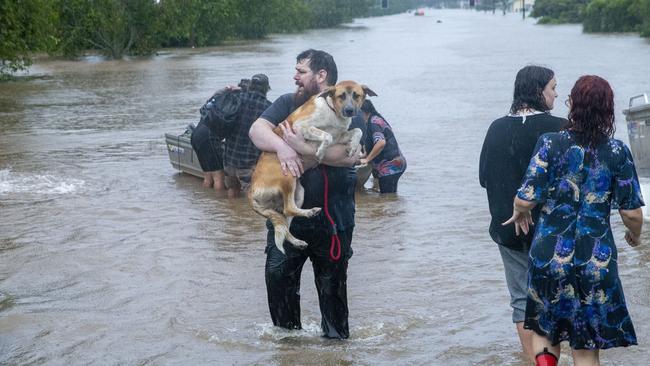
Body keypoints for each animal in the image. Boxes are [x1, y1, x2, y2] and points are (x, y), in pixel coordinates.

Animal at [251, 80, 378, 253]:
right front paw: (321, 152)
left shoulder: (340, 136)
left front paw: (352, 147)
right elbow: (327, 135)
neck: (333, 112)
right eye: (341, 96)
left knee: (285, 222)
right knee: (288, 209)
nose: (349, 110)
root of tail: (251, 191)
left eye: (356, 95)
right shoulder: (301, 126)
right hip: (288, 177)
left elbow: (357, 130)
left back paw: (299, 236)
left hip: (299, 192)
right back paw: (310, 213)